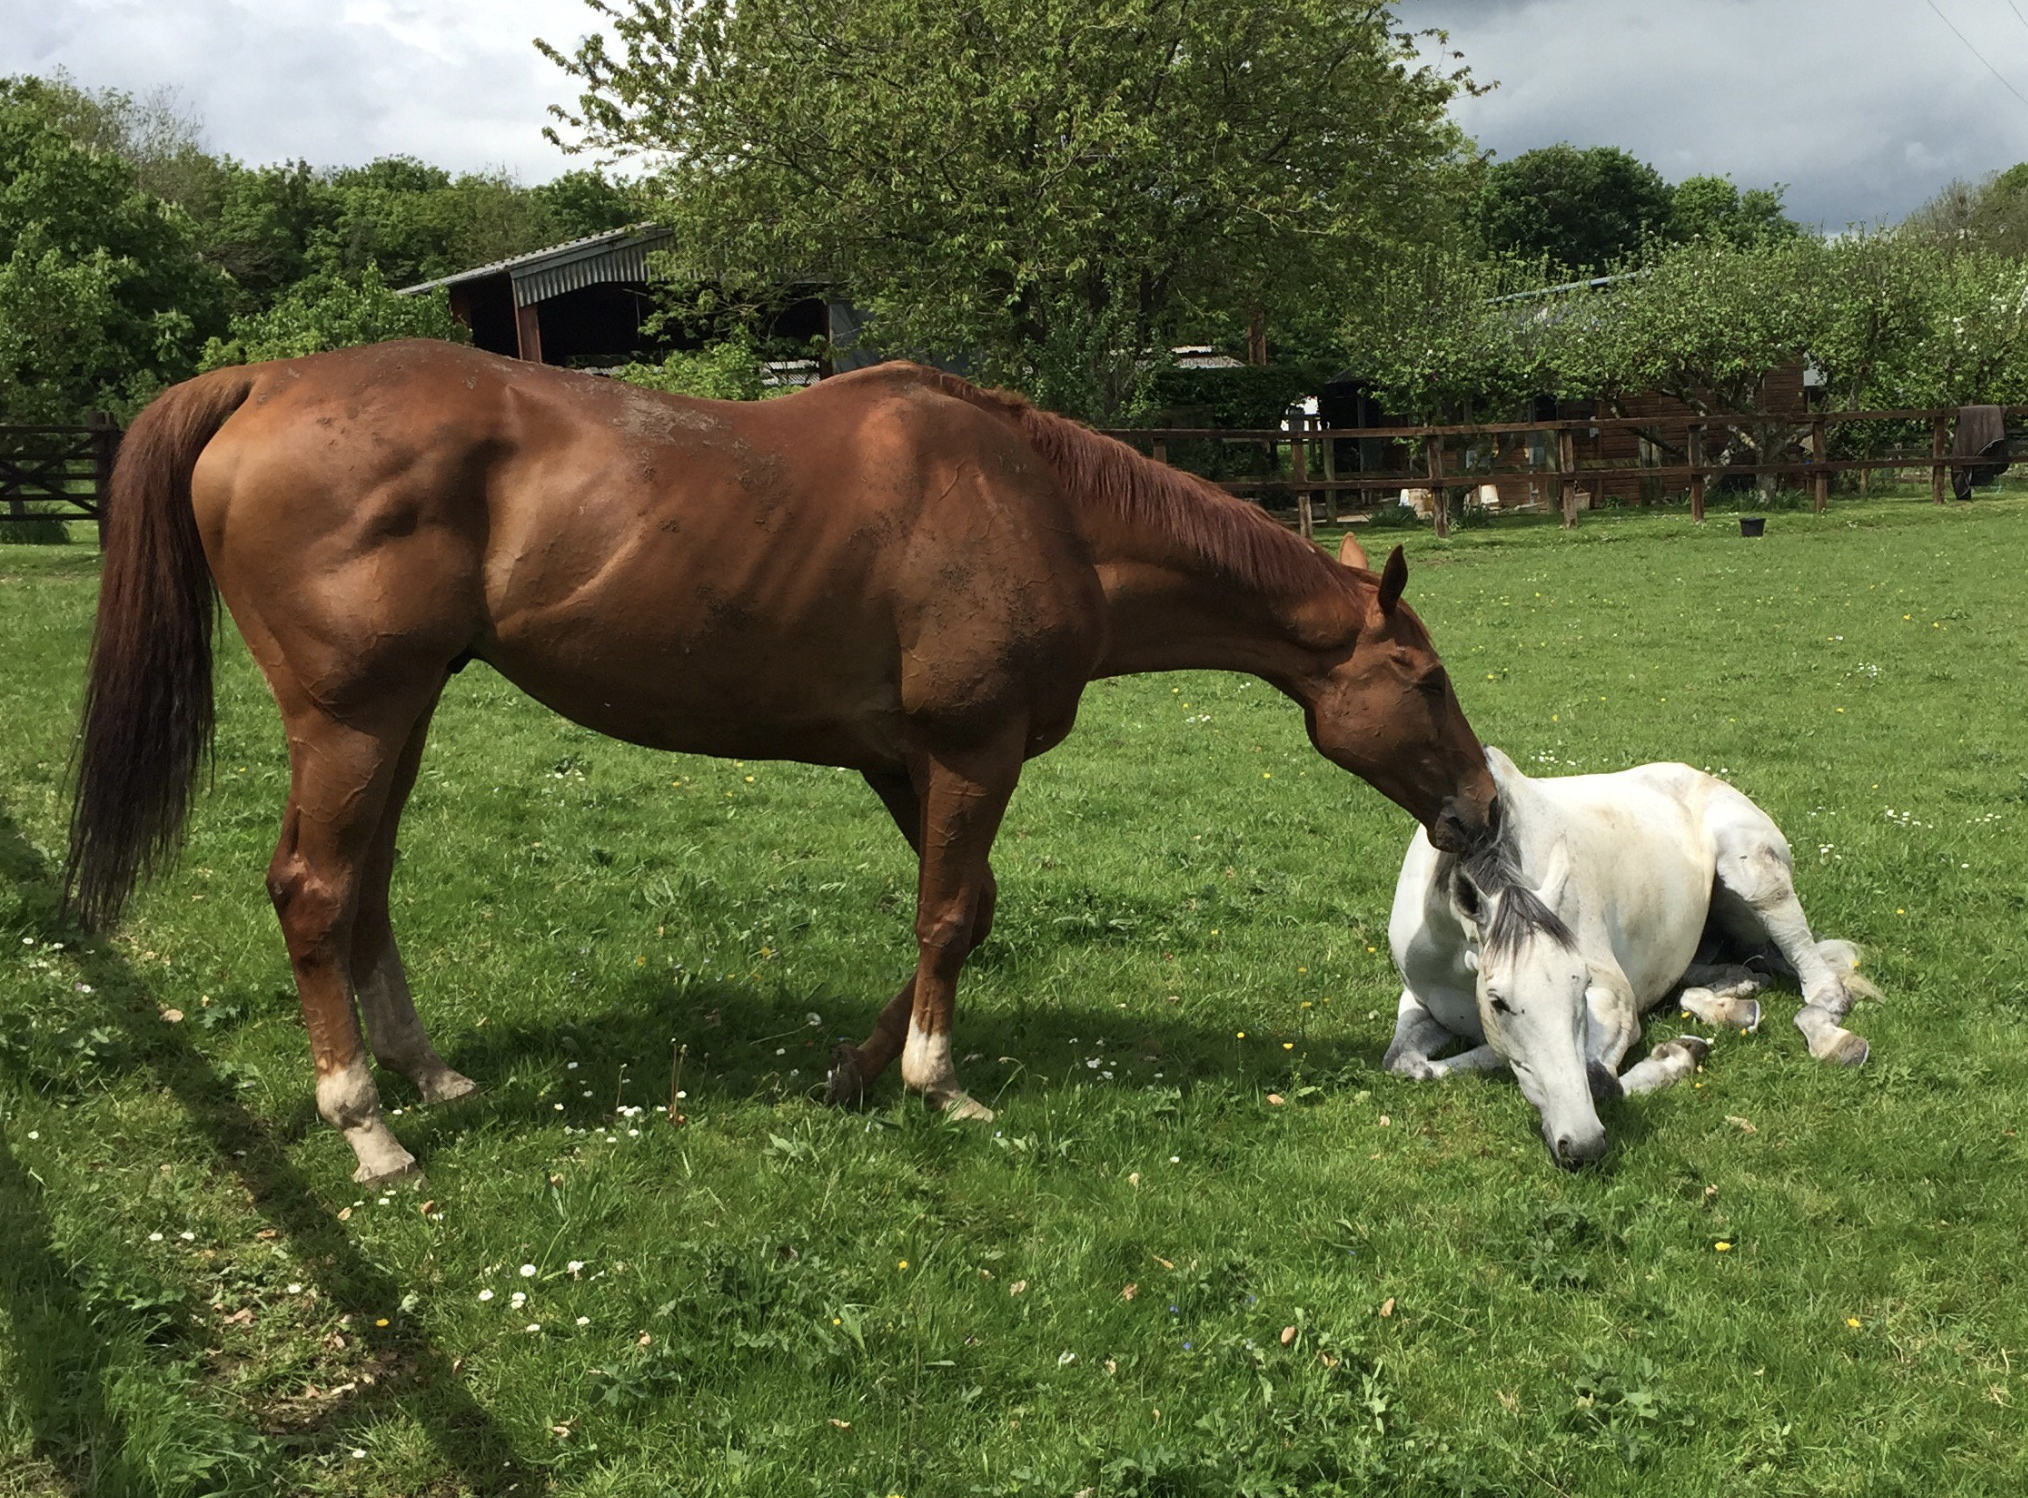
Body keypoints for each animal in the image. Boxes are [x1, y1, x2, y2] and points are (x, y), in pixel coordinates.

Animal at [63, 342, 1500, 1183]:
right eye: (1426, 680)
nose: (1482, 812)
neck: (1039, 508)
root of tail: (265, 382)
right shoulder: (970, 752)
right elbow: (952, 916)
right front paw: (937, 1083)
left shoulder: (903, 761)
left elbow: (960, 912)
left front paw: (853, 1074)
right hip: (353, 717)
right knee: (313, 890)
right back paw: (366, 1122)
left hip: (401, 716)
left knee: (366, 888)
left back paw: (430, 1074)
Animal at [1387, 750, 1873, 1175]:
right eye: (1498, 1001)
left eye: (1580, 982)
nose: (1581, 1145)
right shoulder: (1419, 1001)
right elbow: (1404, 1062)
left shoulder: (1613, 998)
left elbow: (1599, 1079)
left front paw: (1677, 1056)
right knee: (1728, 974)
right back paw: (1733, 1002)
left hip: (1757, 881)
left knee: (1820, 981)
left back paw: (1831, 1037)